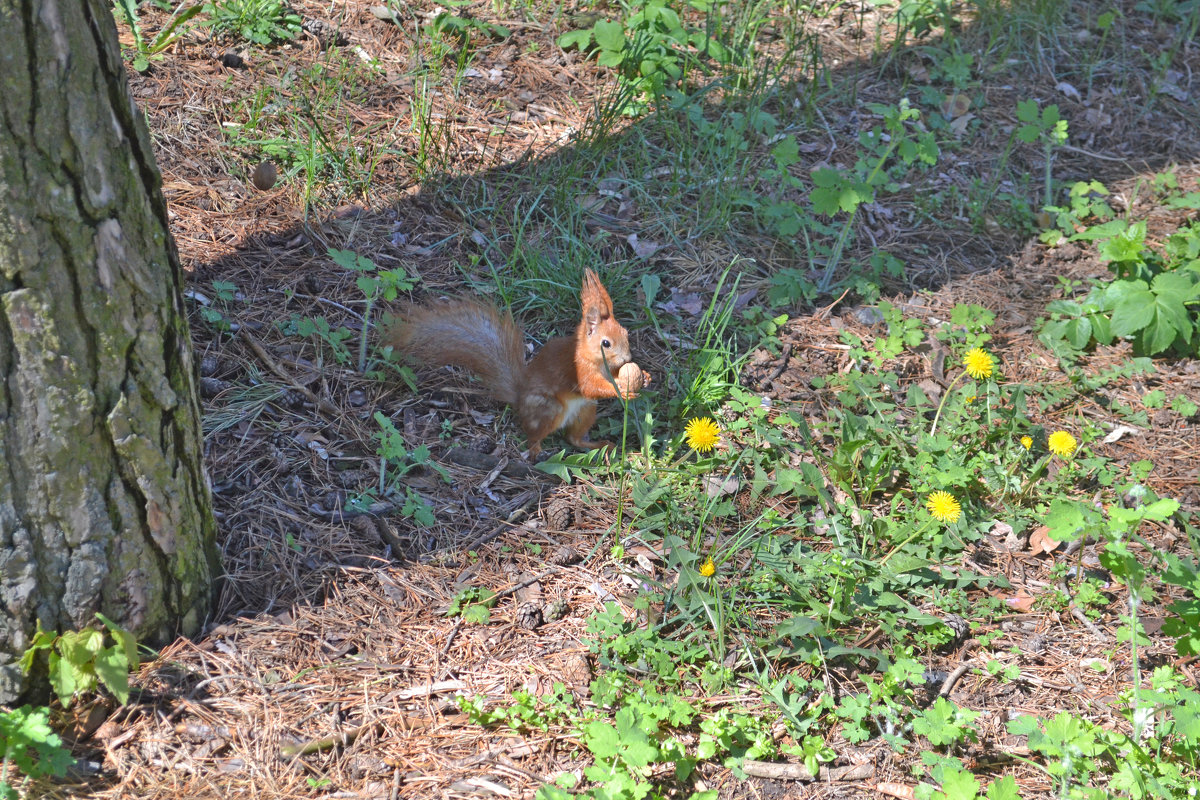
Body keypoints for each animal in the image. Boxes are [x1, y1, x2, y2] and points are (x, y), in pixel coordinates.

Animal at [384, 268, 648, 455]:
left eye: (625, 333)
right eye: (606, 343)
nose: (628, 358)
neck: (591, 357)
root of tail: (519, 400)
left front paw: (643, 378)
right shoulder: (578, 370)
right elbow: (591, 387)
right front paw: (622, 390)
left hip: (585, 411)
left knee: (573, 438)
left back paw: (598, 445)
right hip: (549, 409)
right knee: (533, 435)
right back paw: (536, 451)